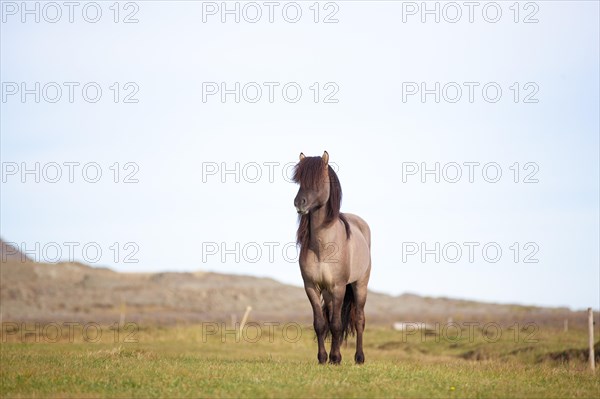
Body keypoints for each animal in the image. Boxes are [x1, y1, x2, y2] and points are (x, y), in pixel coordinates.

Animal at [292, 151, 370, 366]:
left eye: (319, 179)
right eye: (299, 180)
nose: (299, 203)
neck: (323, 246)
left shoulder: (339, 287)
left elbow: (336, 324)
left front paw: (336, 358)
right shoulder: (311, 286)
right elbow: (321, 323)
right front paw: (322, 357)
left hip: (360, 285)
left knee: (359, 320)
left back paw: (359, 357)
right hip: (327, 292)